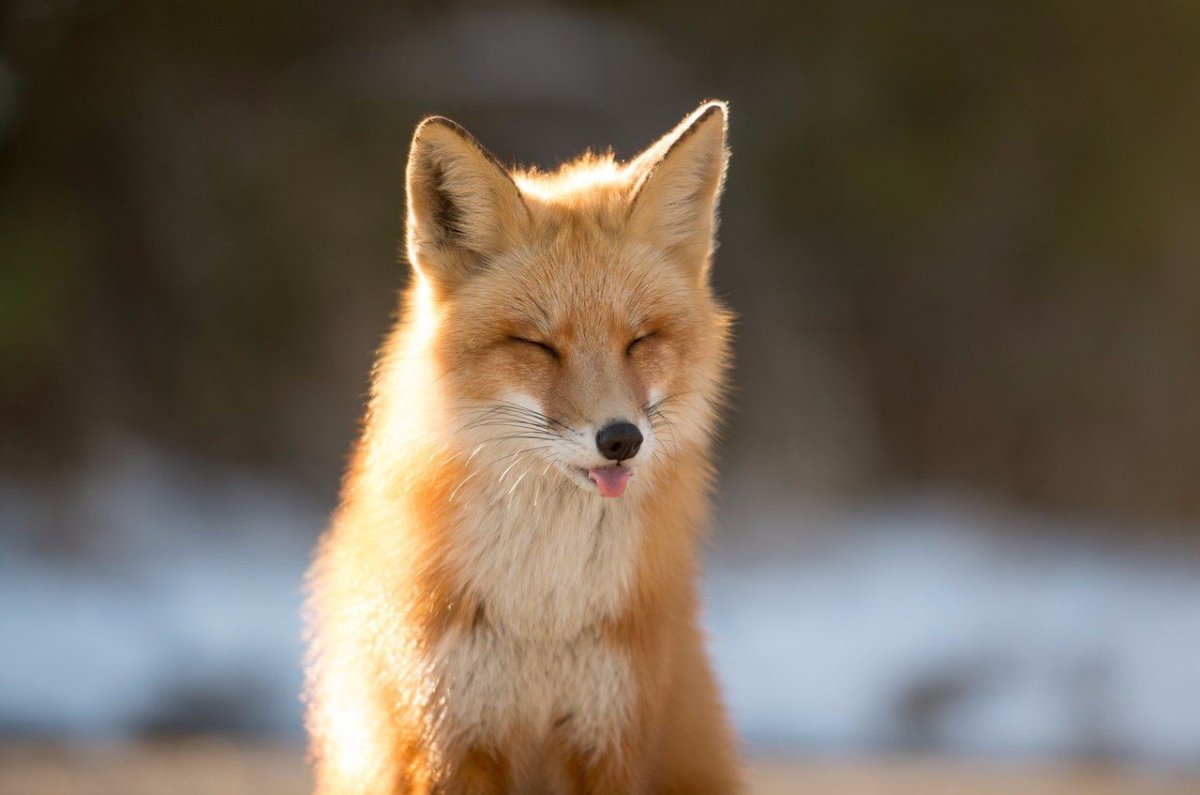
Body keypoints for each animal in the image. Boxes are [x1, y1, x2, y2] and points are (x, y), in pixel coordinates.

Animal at [305, 100, 739, 794]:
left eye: (640, 340)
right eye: (538, 346)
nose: (621, 439)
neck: (544, 619)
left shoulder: (609, 734)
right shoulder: (451, 734)